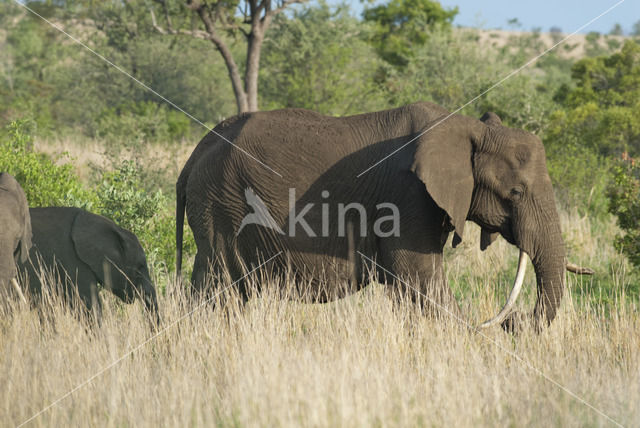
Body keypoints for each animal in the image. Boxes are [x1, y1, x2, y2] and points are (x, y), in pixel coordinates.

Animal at [175, 103, 564, 332]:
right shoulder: (408, 197)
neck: (468, 129)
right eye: (515, 193)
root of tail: (196, 153)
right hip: (222, 204)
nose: (514, 321)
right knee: (221, 288)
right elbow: (420, 279)